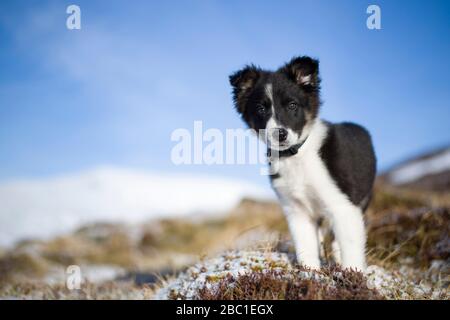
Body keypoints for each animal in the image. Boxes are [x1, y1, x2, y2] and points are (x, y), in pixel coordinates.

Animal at [229, 55, 376, 270]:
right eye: (261, 109)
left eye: (292, 105)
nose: (280, 134)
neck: (296, 155)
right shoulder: (296, 211)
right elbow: (306, 247)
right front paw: (311, 273)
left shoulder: (343, 206)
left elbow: (350, 247)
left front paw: (353, 275)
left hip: (361, 200)